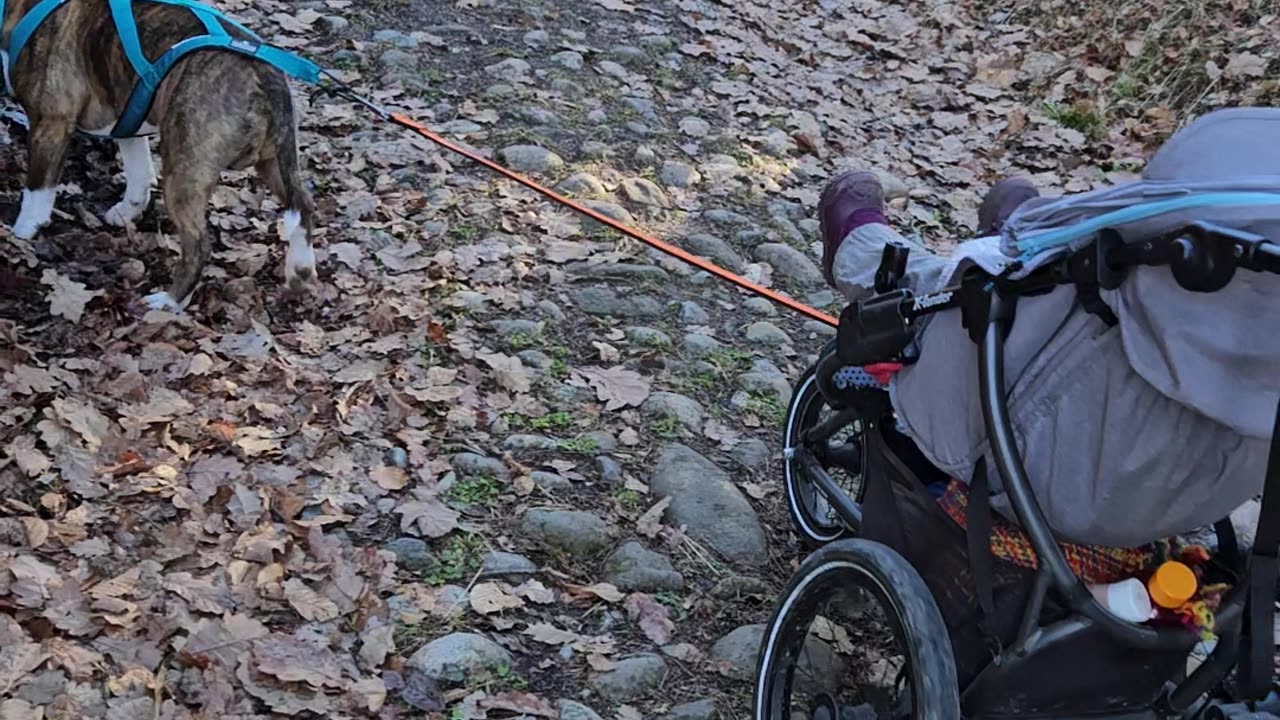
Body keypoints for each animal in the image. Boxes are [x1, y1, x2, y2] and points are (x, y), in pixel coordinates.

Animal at [2, 0, 317, 308]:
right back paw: (300, 271)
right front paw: (127, 210)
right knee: (303, 203)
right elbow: (139, 173)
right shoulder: (127, 117)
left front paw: (21, 232)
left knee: (198, 244)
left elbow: (38, 189)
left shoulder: (50, 123)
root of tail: (264, 75)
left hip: (184, 169)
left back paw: (170, 302)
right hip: (275, 161)